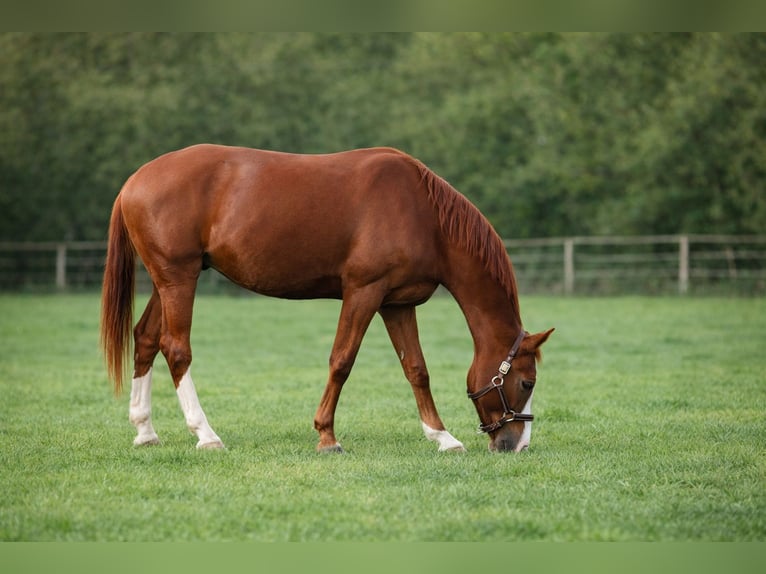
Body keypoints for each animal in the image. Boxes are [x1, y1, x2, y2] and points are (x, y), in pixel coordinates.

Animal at [100, 144, 553, 453]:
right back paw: (206, 434)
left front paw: (442, 436)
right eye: (526, 381)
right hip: (178, 279)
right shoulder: (363, 292)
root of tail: (135, 181)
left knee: (145, 339)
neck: (423, 213)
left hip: (169, 281)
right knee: (176, 349)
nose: (519, 444)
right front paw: (327, 436)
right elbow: (342, 361)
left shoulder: (396, 303)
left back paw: (145, 430)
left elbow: (416, 370)